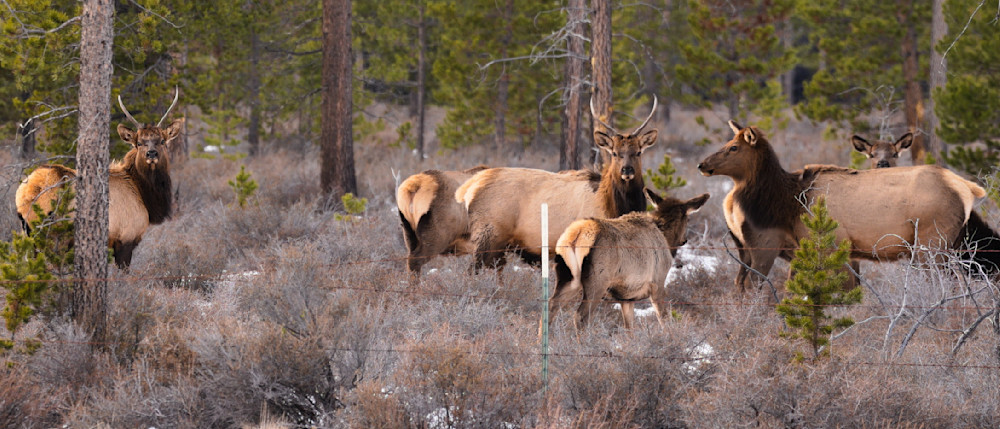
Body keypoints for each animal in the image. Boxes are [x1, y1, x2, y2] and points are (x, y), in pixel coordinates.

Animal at [16, 88, 183, 269]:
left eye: (162, 141)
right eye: (139, 143)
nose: (151, 153)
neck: (142, 193)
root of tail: (27, 193)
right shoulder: (126, 238)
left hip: (28, 234)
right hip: (55, 235)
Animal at [456, 97, 659, 271]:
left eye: (638, 152)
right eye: (615, 153)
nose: (627, 170)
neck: (615, 206)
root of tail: (470, 187)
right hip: (488, 236)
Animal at [543, 190, 709, 333]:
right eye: (688, 218)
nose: (684, 239)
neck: (666, 238)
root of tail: (577, 235)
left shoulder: (627, 297)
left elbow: (629, 328)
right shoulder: (658, 282)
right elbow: (664, 319)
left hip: (567, 277)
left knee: (550, 305)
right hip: (598, 281)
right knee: (580, 316)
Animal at [697, 120, 990, 291]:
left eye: (733, 147)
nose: (702, 164)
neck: (789, 201)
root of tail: (967, 187)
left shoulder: (827, 245)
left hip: (932, 244)